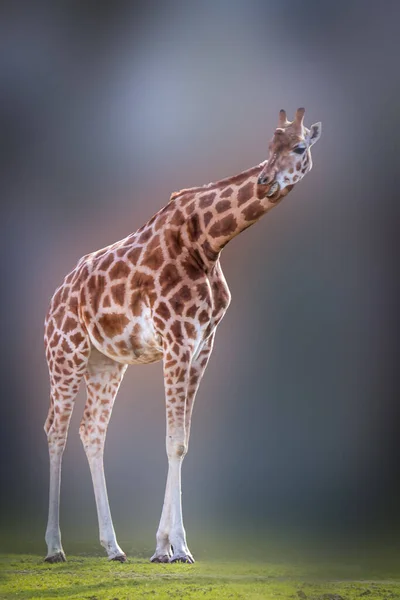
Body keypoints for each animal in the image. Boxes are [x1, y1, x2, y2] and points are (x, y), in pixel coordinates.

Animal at [43, 108, 322, 564]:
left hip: (107, 363)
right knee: (56, 428)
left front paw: (170, 547)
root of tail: (54, 297)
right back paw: (54, 547)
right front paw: (173, 548)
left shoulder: (202, 344)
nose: (265, 180)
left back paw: (114, 547)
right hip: (65, 353)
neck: (209, 243)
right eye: (269, 146)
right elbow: (173, 441)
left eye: (299, 147)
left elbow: (184, 442)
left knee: (92, 430)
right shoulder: (176, 338)